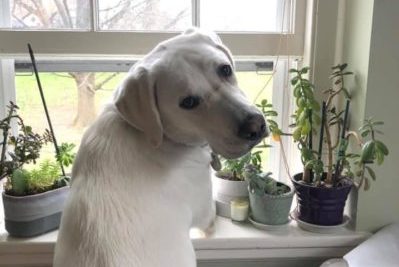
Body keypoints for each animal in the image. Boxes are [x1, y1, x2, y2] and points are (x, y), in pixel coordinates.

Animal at [52, 28, 266, 266]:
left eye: (225, 69)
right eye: (188, 102)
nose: (255, 127)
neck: (156, 134)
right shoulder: (205, 211)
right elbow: (210, 222)